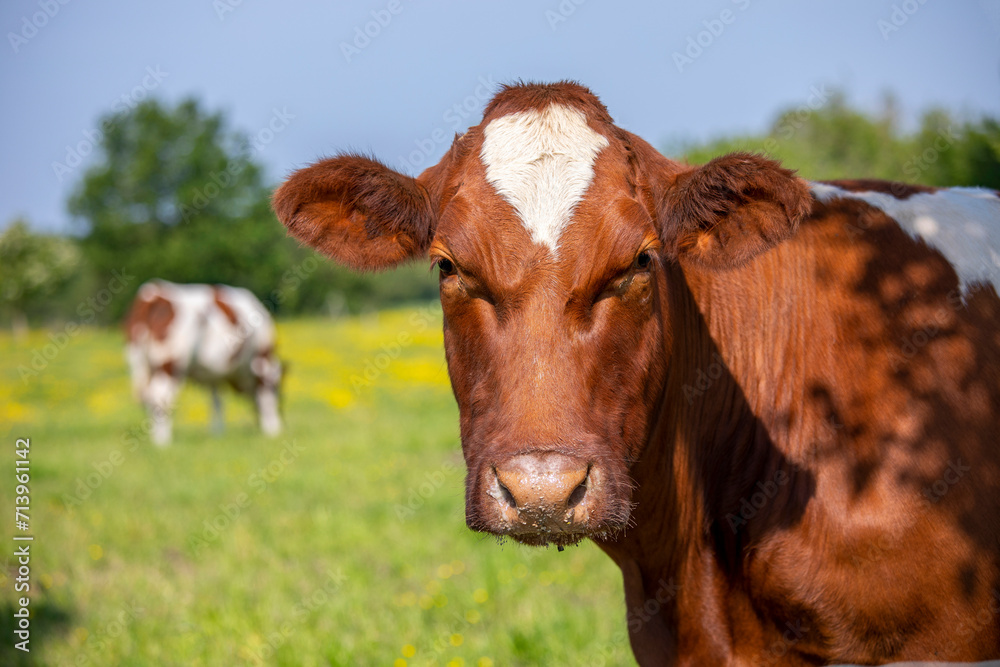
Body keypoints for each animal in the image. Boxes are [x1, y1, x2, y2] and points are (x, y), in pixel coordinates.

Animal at [125, 280, 284, 446]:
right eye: (278, 388)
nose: (280, 425)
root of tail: (155, 293)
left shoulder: (214, 374)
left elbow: (216, 400)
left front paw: (217, 433)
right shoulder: (262, 362)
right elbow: (265, 397)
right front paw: (272, 430)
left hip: (139, 361)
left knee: (148, 397)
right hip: (170, 364)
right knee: (160, 397)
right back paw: (163, 442)